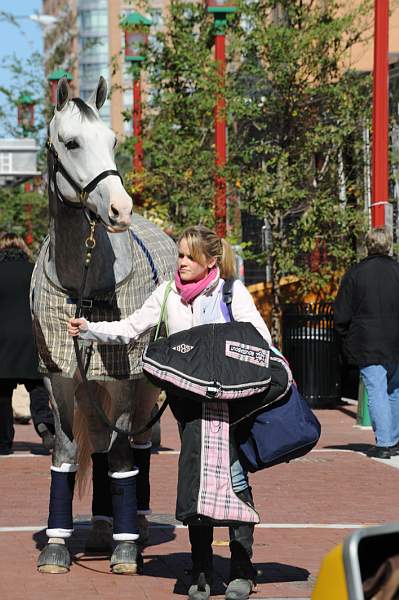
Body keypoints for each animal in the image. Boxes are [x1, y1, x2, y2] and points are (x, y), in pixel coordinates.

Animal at [32, 77, 178, 576]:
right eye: (71, 142)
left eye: (114, 140)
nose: (119, 209)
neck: (84, 282)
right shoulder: (59, 377)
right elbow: (65, 452)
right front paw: (56, 546)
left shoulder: (121, 379)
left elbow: (120, 455)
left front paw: (126, 548)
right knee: (97, 443)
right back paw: (98, 523)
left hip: (144, 386)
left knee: (137, 444)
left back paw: (135, 523)